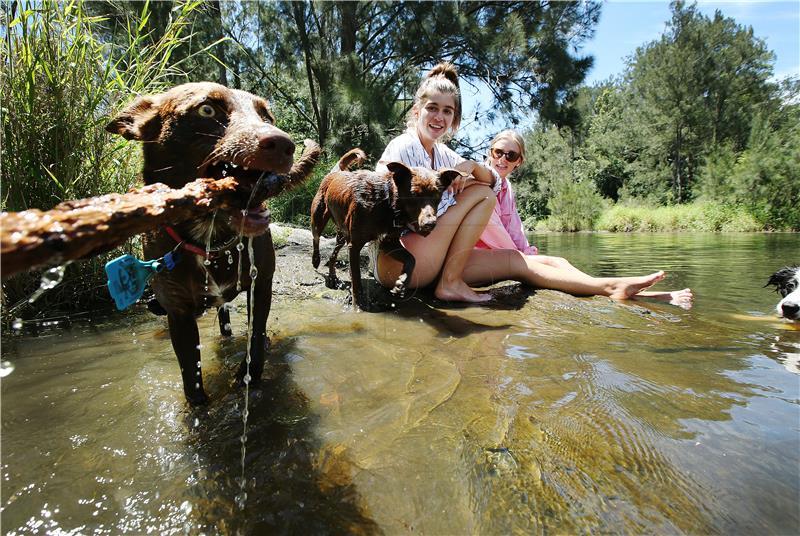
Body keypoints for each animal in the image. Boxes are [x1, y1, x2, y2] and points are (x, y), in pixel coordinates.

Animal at [107, 81, 318, 404]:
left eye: (266, 116)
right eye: (207, 109)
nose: (285, 145)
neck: (212, 237)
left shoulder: (262, 283)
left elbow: (256, 334)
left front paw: (248, 375)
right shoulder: (179, 312)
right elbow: (190, 376)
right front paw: (197, 410)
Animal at [312, 150, 462, 310]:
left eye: (437, 196)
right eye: (414, 194)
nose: (430, 224)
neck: (385, 202)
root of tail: (338, 172)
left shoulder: (388, 243)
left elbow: (411, 259)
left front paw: (401, 283)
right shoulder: (355, 245)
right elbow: (356, 278)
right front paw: (358, 305)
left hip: (342, 233)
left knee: (333, 254)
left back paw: (332, 277)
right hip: (319, 217)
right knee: (316, 238)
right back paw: (316, 260)